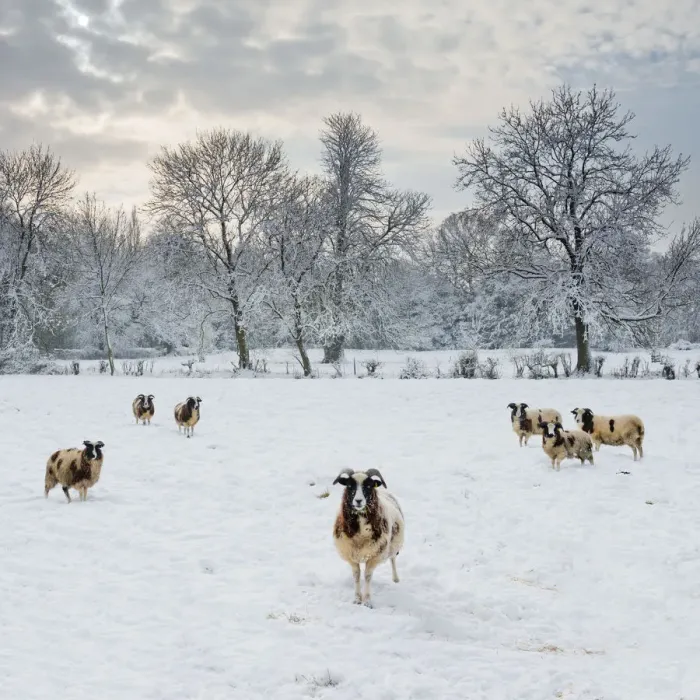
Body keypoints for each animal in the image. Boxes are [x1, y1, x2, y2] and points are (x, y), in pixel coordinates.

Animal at [332, 468, 404, 608]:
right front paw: (357, 599)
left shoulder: (374, 556)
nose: (358, 501)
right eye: (350, 485)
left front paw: (367, 601)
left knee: (393, 559)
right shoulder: (351, 556)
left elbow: (367, 576)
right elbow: (356, 576)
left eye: (369, 486)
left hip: (393, 546)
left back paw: (396, 579)